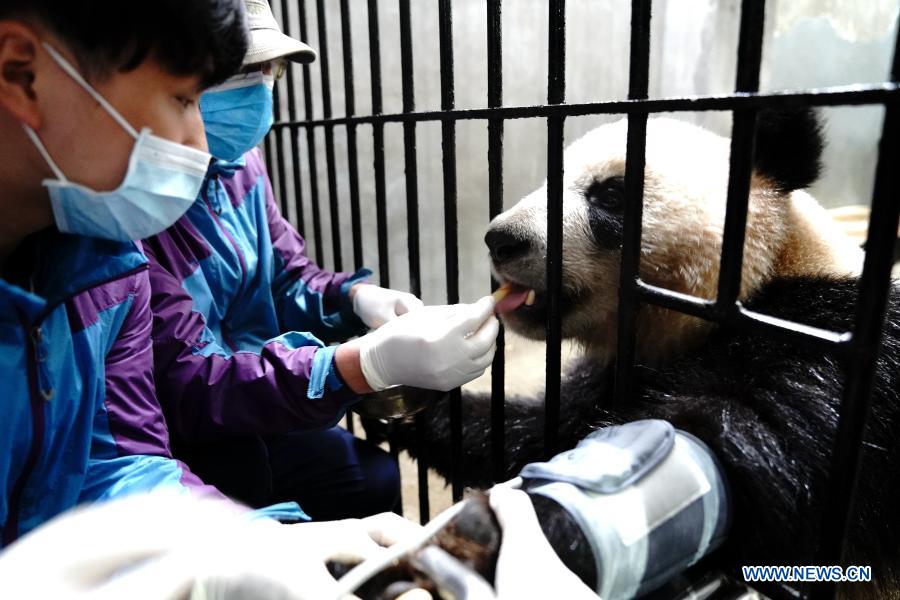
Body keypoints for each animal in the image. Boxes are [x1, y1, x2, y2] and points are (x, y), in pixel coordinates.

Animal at [386, 110, 900, 596]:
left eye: (610, 195)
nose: (502, 240)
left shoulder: (826, 349)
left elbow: (745, 448)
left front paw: (511, 536)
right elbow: (534, 435)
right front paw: (420, 405)